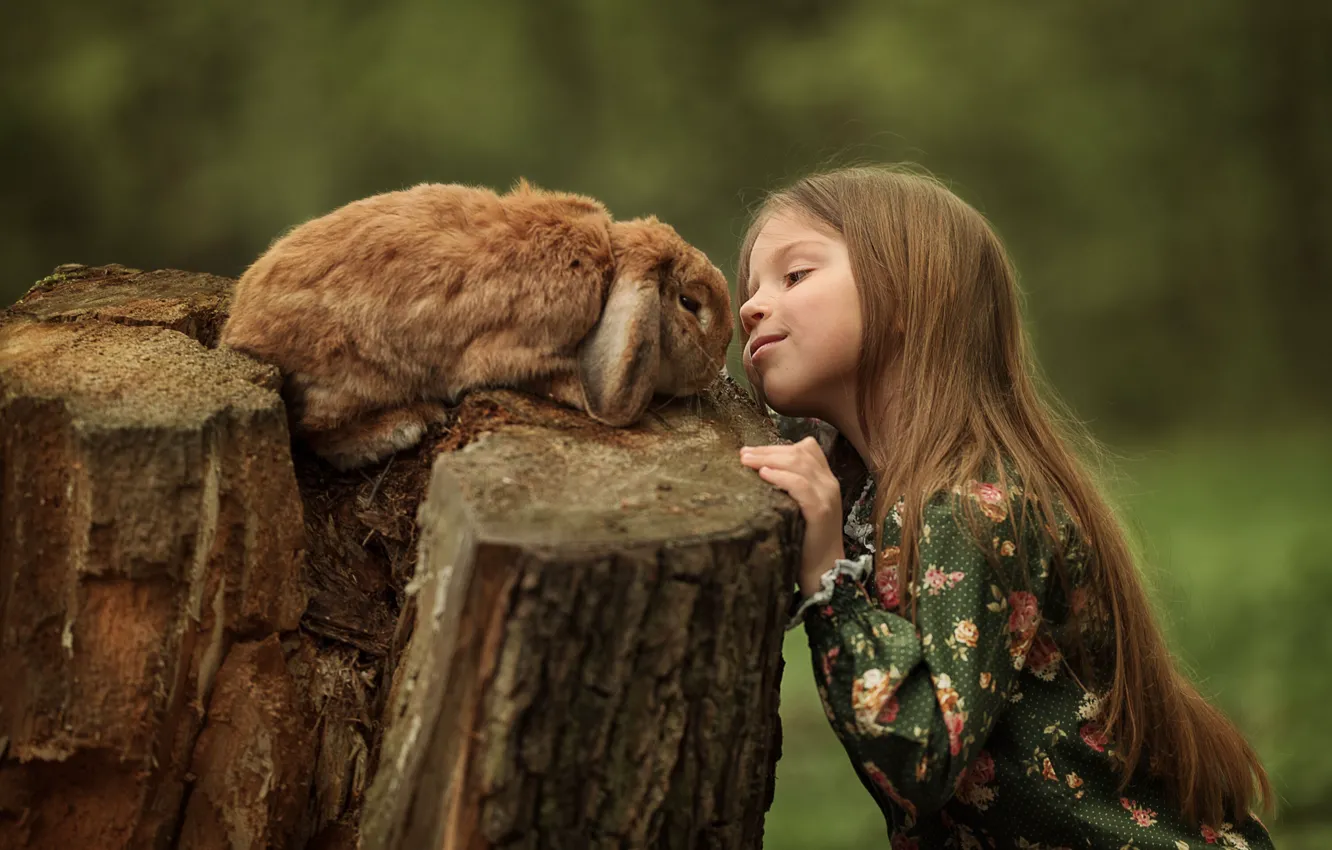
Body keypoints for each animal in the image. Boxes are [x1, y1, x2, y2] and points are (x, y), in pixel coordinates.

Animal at [220, 180, 733, 470]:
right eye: (689, 303)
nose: (720, 358)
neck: (608, 268)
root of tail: (239, 329)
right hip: (353, 374)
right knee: (314, 431)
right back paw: (408, 424)